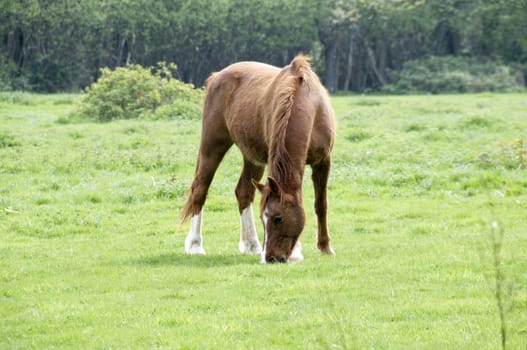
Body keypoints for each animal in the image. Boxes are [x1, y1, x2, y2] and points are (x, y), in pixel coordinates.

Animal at [182, 54, 336, 262]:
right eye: (263, 218)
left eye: (278, 218)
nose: (270, 258)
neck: (309, 104)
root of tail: (216, 76)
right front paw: (297, 252)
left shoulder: (323, 161)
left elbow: (321, 204)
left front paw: (325, 247)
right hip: (212, 146)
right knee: (200, 189)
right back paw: (195, 245)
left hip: (252, 159)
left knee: (244, 192)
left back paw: (252, 245)